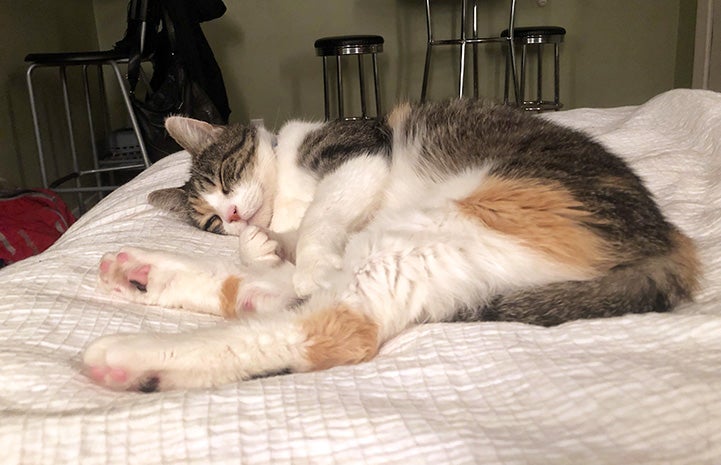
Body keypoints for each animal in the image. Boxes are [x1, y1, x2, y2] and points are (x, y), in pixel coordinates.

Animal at [83, 99, 696, 392]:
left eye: (225, 177)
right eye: (209, 220)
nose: (232, 215)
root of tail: (666, 244)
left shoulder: (358, 156)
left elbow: (318, 225)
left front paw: (291, 251)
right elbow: (272, 250)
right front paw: (259, 245)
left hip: (449, 225)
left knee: (333, 324)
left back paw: (128, 355)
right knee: (291, 303)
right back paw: (137, 271)